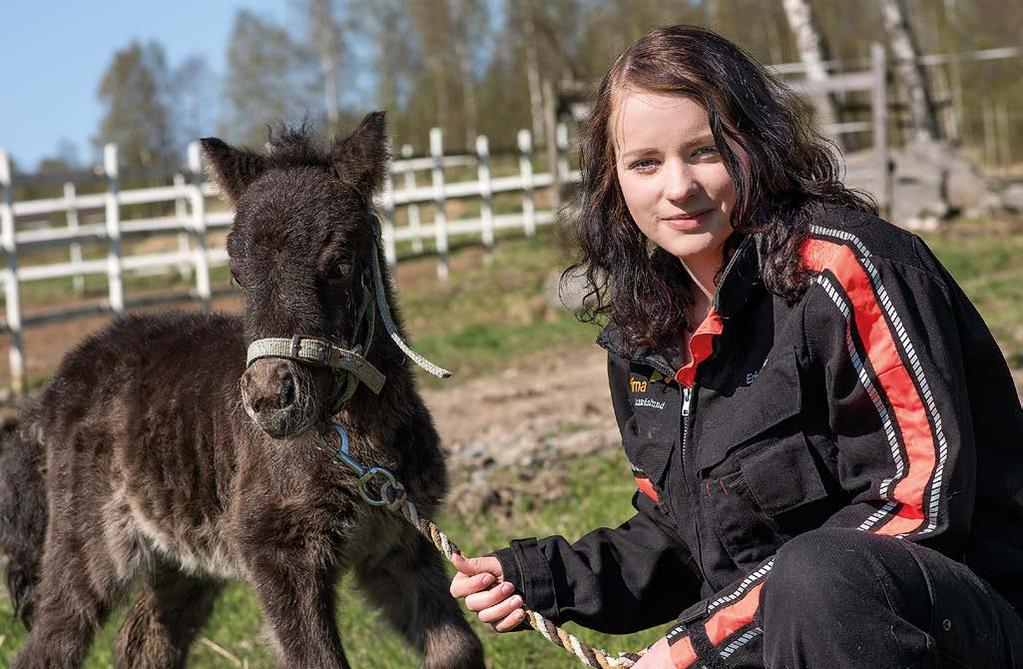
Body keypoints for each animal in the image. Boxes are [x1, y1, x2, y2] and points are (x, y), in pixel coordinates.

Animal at [0, 114, 484, 669]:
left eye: (341, 264)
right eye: (237, 273)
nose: (271, 397)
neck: (353, 445)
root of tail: (56, 386)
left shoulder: (397, 543)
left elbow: (458, 648)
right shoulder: (276, 553)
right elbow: (318, 661)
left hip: (183, 556)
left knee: (143, 639)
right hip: (90, 541)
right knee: (52, 641)